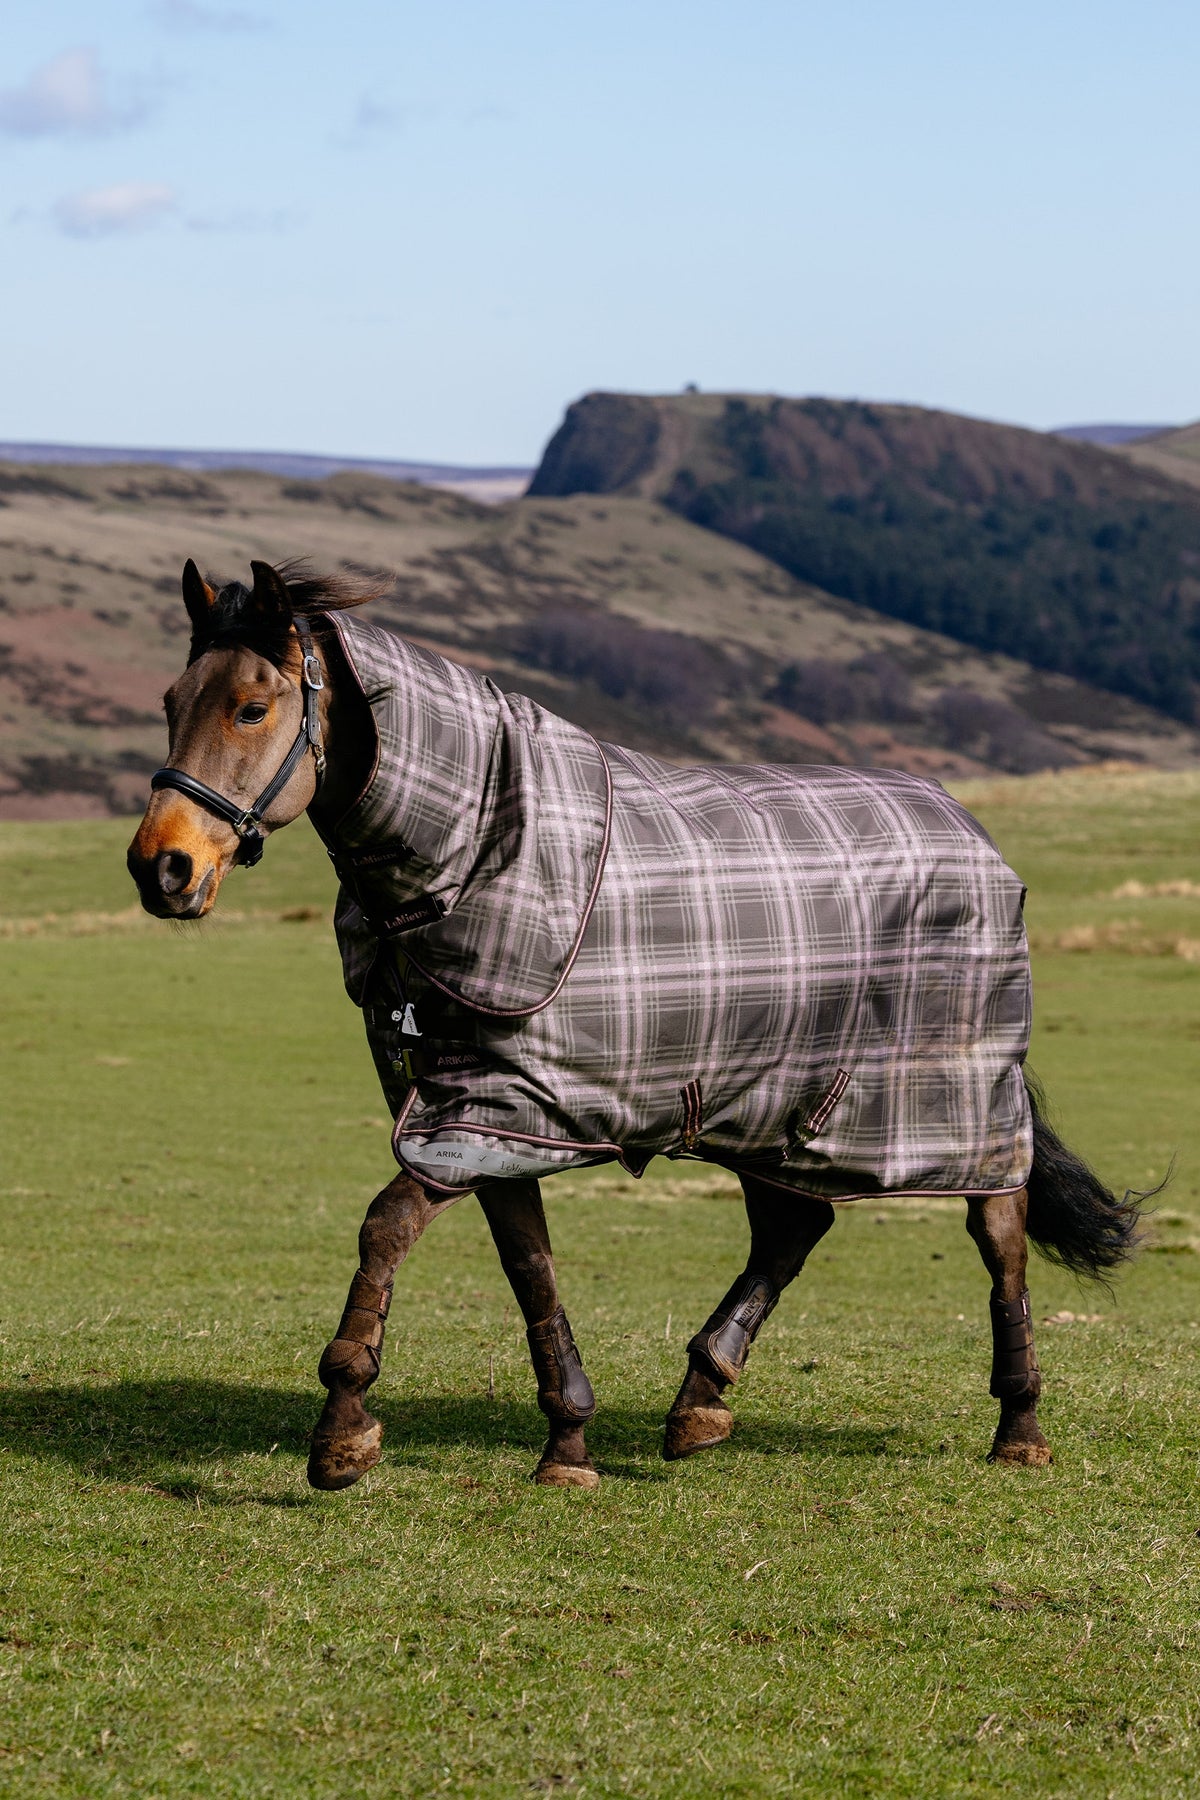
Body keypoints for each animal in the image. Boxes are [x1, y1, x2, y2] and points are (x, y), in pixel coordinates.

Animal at [127, 559, 1141, 1492]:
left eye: (253, 708)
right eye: (173, 701)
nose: (161, 868)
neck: (477, 851)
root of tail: (977, 836)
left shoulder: (492, 1109)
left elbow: (385, 1229)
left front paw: (342, 1429)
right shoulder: (492, 1116)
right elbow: (528, 1266)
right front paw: (567, 1443)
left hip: (953, 1101)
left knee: (998, 1234)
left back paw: (1019, 1427)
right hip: (783, 1107)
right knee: (793, 1228)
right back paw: (700, 1400)